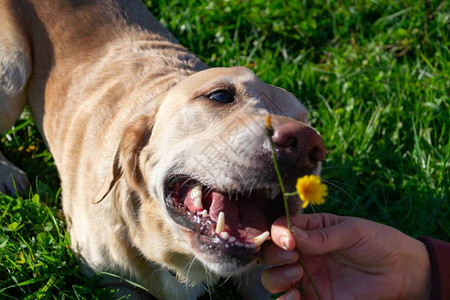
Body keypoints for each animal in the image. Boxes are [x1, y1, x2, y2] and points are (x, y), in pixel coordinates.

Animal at [0, 1, 326, 298]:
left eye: (305, 121)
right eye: (220, 95)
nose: (307, 144)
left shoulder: (263, 275)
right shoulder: (109, 282)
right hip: (13, 70)